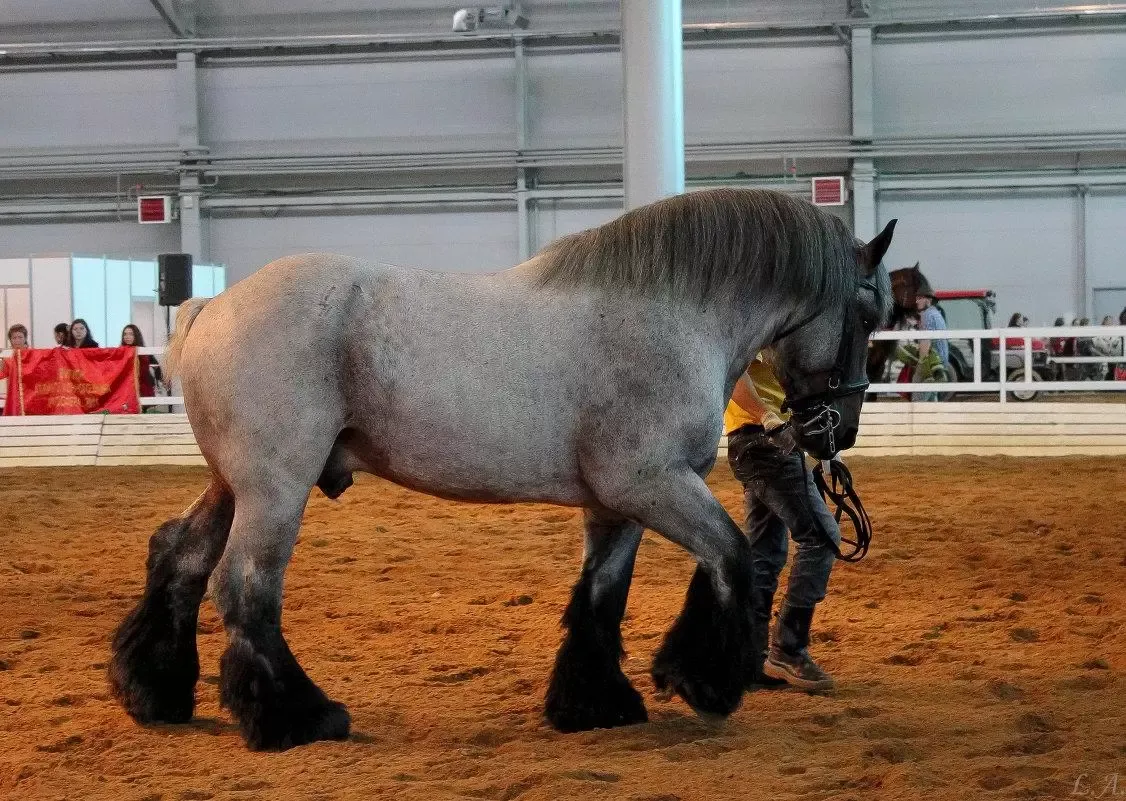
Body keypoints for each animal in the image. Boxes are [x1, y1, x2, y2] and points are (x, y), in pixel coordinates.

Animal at [109, 189, 891, 752]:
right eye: (867, 310)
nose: (839, 428)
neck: (671, 314)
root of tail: (211, 305)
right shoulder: (654, 484)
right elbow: (729, 555)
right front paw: (701, 680)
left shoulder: (616, 504)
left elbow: (601, 598)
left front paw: (594, 703)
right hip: (276, 487)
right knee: (246, 586)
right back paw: (296, 717)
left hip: (232, 483)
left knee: (178, 555)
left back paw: (154, 692)